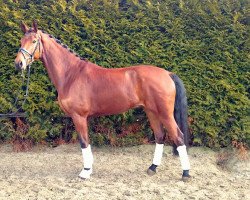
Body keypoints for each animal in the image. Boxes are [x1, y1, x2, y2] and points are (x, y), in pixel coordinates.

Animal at [14, 21, 190, 181]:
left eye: (34, 41)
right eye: (21, 41)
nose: (19, 63)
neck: (71, 74)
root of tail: (168, 73)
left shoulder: (79, 116)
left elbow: (84, 142)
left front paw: (85, 172)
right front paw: (89, 169)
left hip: (165, 114)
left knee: (179, 137)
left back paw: (185, 173)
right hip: (152, 112)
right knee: (160, 136)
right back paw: (152, 168)